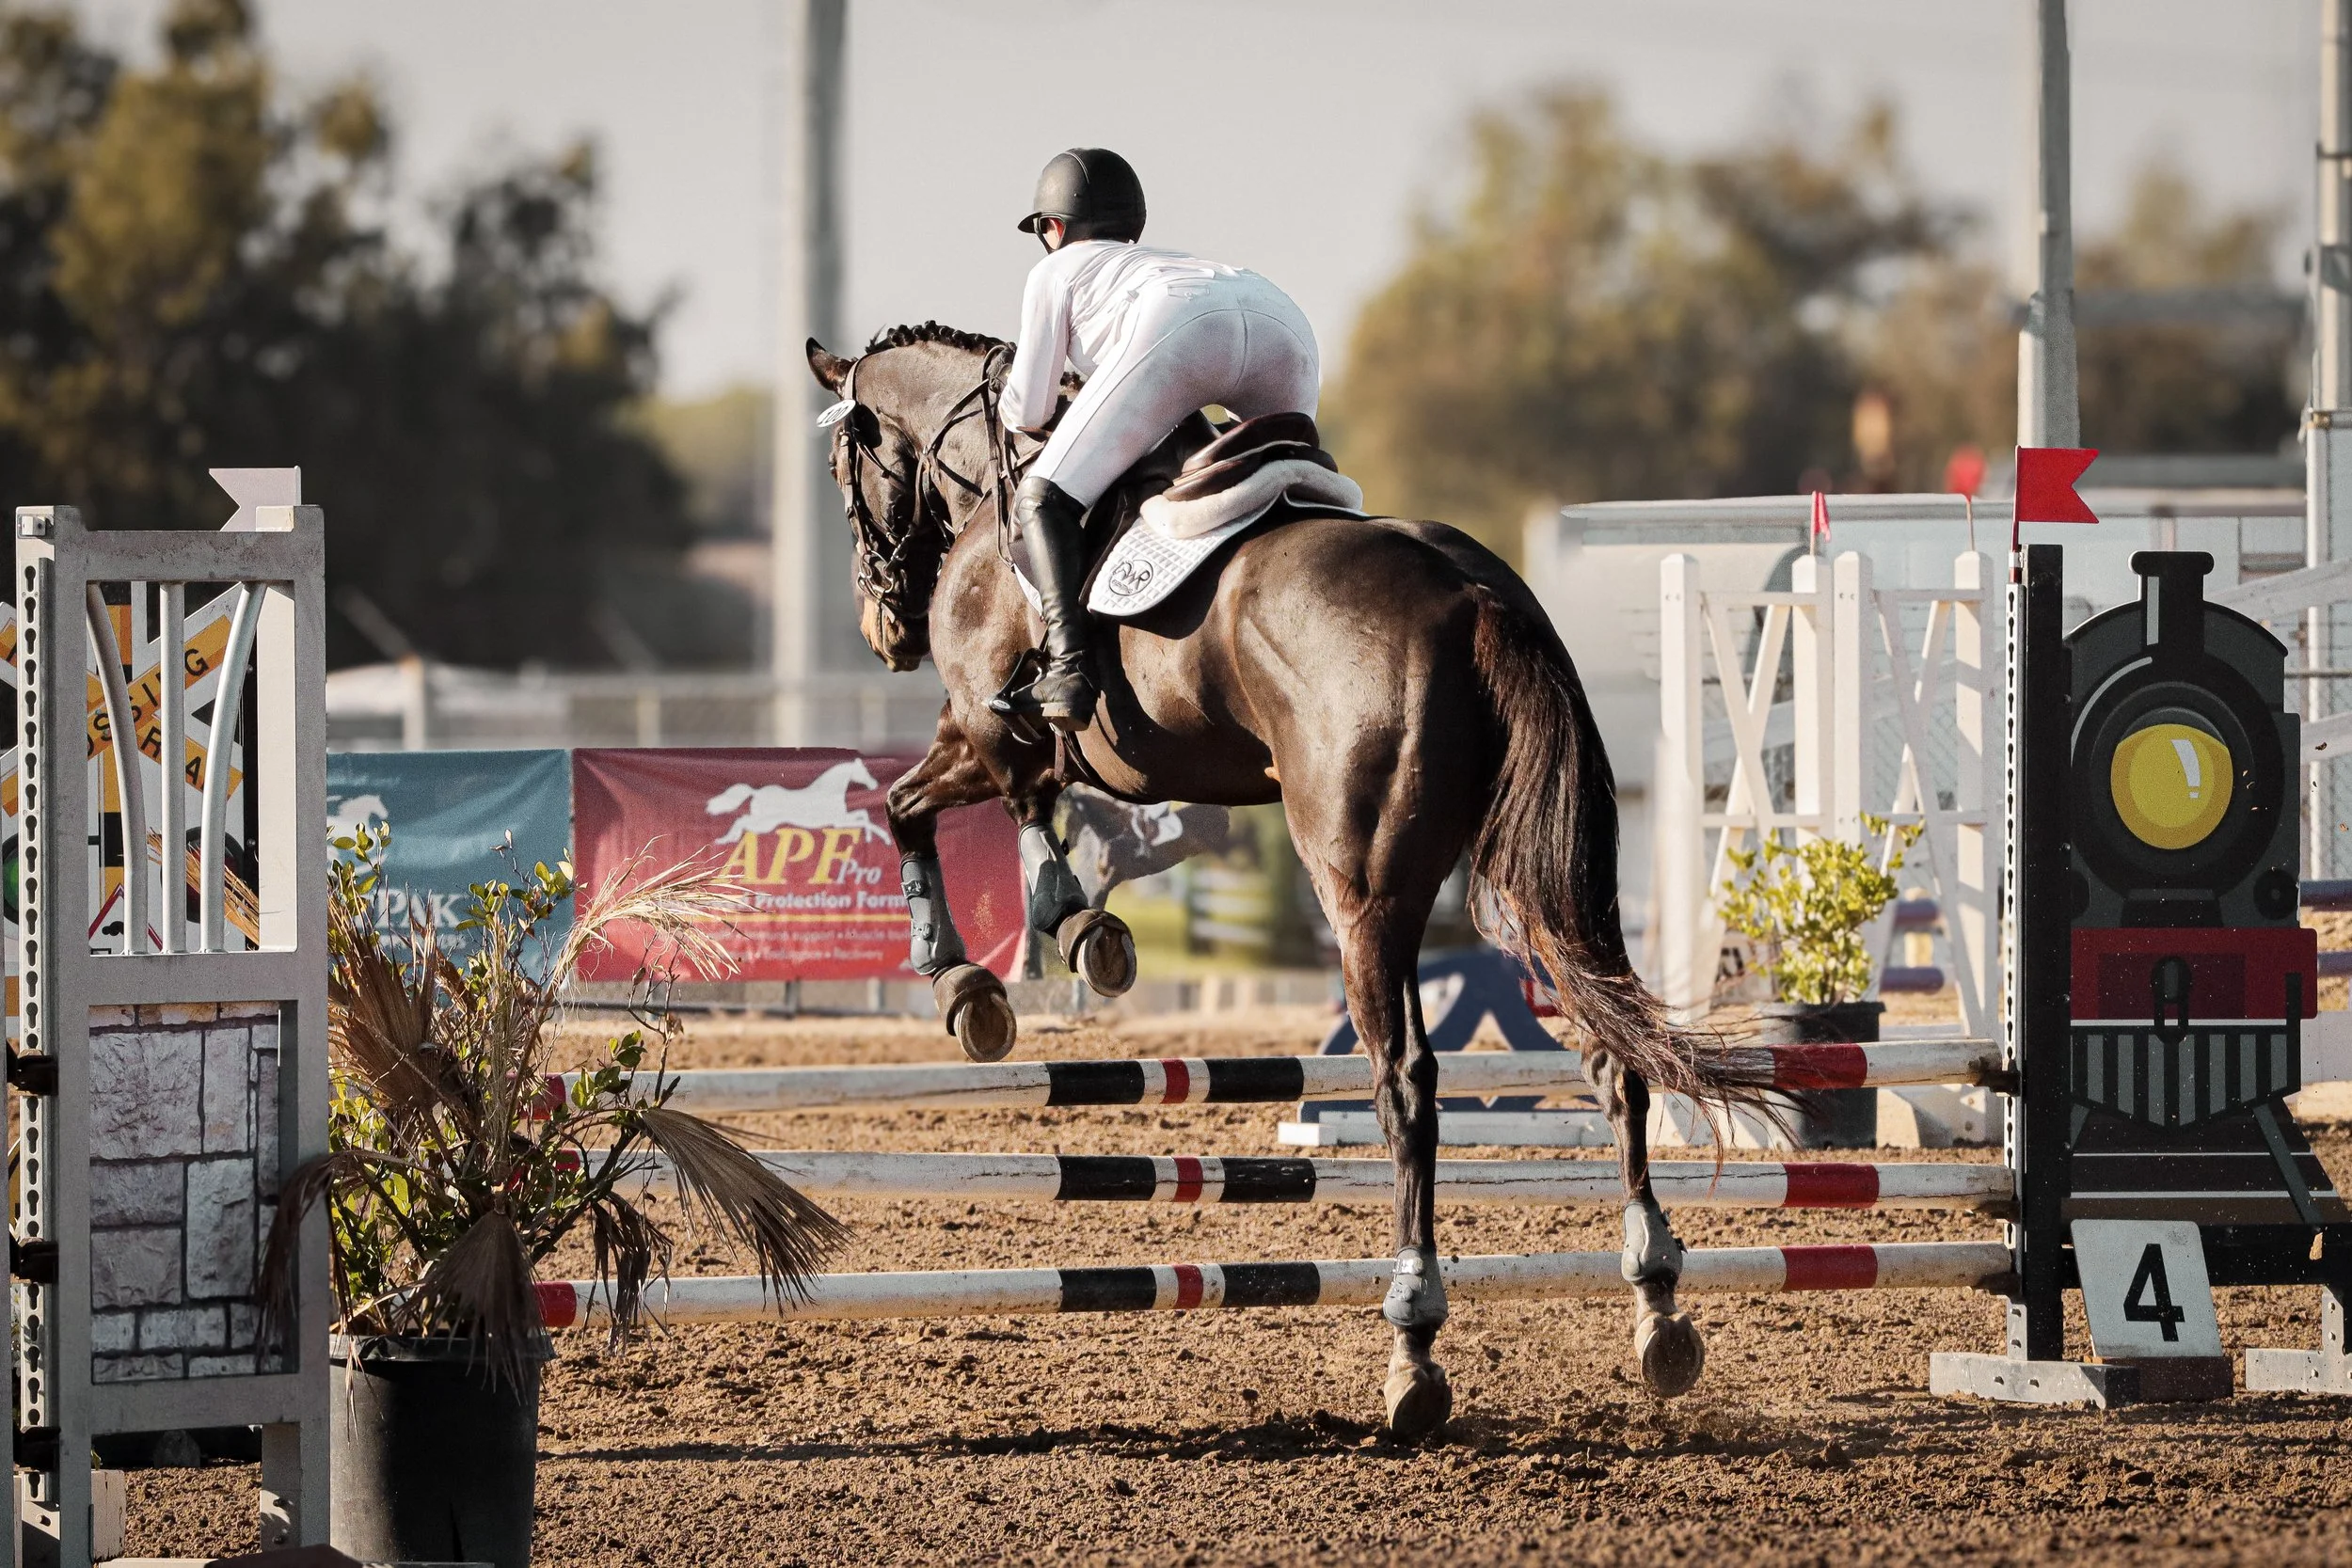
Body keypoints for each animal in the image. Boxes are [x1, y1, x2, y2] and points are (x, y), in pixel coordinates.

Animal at [803, 321, 1770, 1439]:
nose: (884, 630)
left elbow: (951, 809)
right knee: (1615, 1056)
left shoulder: (988, 726)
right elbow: (955, 811)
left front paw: (1009, 959)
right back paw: (1656, 1300)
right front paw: (1010, 962)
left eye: (845, 469)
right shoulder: (1000, 742)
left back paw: (1413, 1338)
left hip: (1361, 893)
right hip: (1542, 883)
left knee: (1408, 1083)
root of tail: (1475, 597)